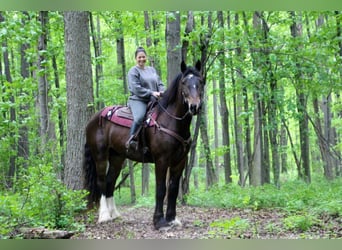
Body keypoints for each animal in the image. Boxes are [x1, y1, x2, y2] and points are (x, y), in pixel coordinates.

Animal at [83, 60, 204, 229]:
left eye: (200, 82)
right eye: (184, 83)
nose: (195, 107)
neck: (170, 121)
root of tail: (93, 119)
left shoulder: (180, 161)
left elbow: (173, 189)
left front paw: (172, 218)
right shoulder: (161, 160)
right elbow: (161, 189)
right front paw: (159, 221)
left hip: (117, 157)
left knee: (110, 182)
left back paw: (115, 214)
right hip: (100, 156)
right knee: (101, 182)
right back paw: (105, 216)